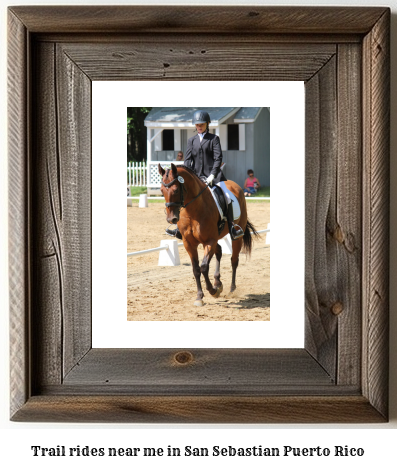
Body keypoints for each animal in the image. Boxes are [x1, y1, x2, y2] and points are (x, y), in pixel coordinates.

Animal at [158, 164, 256, 308]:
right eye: (161, 190)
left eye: (175, 190)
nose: (171, 219)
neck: (192, 211)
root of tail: (234, 185)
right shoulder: (189, 243)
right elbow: (196, 269)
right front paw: (200, 296)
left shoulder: (209, 241)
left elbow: (204, 267)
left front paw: (213, 291)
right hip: (216, 238)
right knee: (219, 251)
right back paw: (218, 282)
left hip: (236, 236)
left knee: (234, 260)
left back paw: (231, 289)